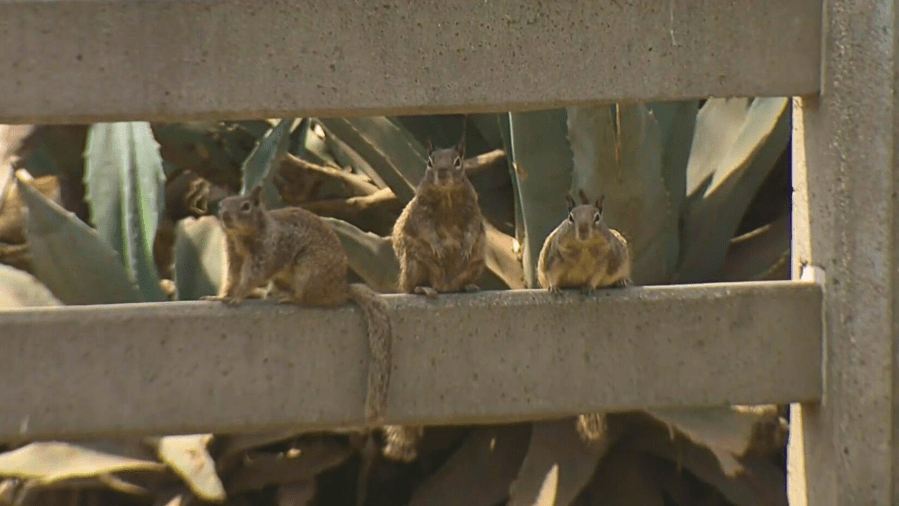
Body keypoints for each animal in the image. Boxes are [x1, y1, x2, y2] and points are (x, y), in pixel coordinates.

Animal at [202, 185, 392, 426]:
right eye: (221, 205)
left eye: (246, 206)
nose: (225, 216)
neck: (242, 237)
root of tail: (341, 289)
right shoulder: (233, 256)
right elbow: (231, 278)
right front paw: (220, 296)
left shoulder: (267, 254)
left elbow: (251, 277)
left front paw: (237, 297)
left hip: (308, 270)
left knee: (310, 299)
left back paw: (291, 298)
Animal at [381, 137, 487, 462]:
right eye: (429, 162)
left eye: (458, 161)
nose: (441, 173)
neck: (448, 196)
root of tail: (446, 285)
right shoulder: (420, 214)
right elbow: (428, 232)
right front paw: (441, 247)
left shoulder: (472, 209)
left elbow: (470, 229)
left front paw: (462, 245)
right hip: (415, 264)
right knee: (412, 286)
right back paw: (424, 290)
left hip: (478, 263)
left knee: (464, 276)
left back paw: (468, 287)